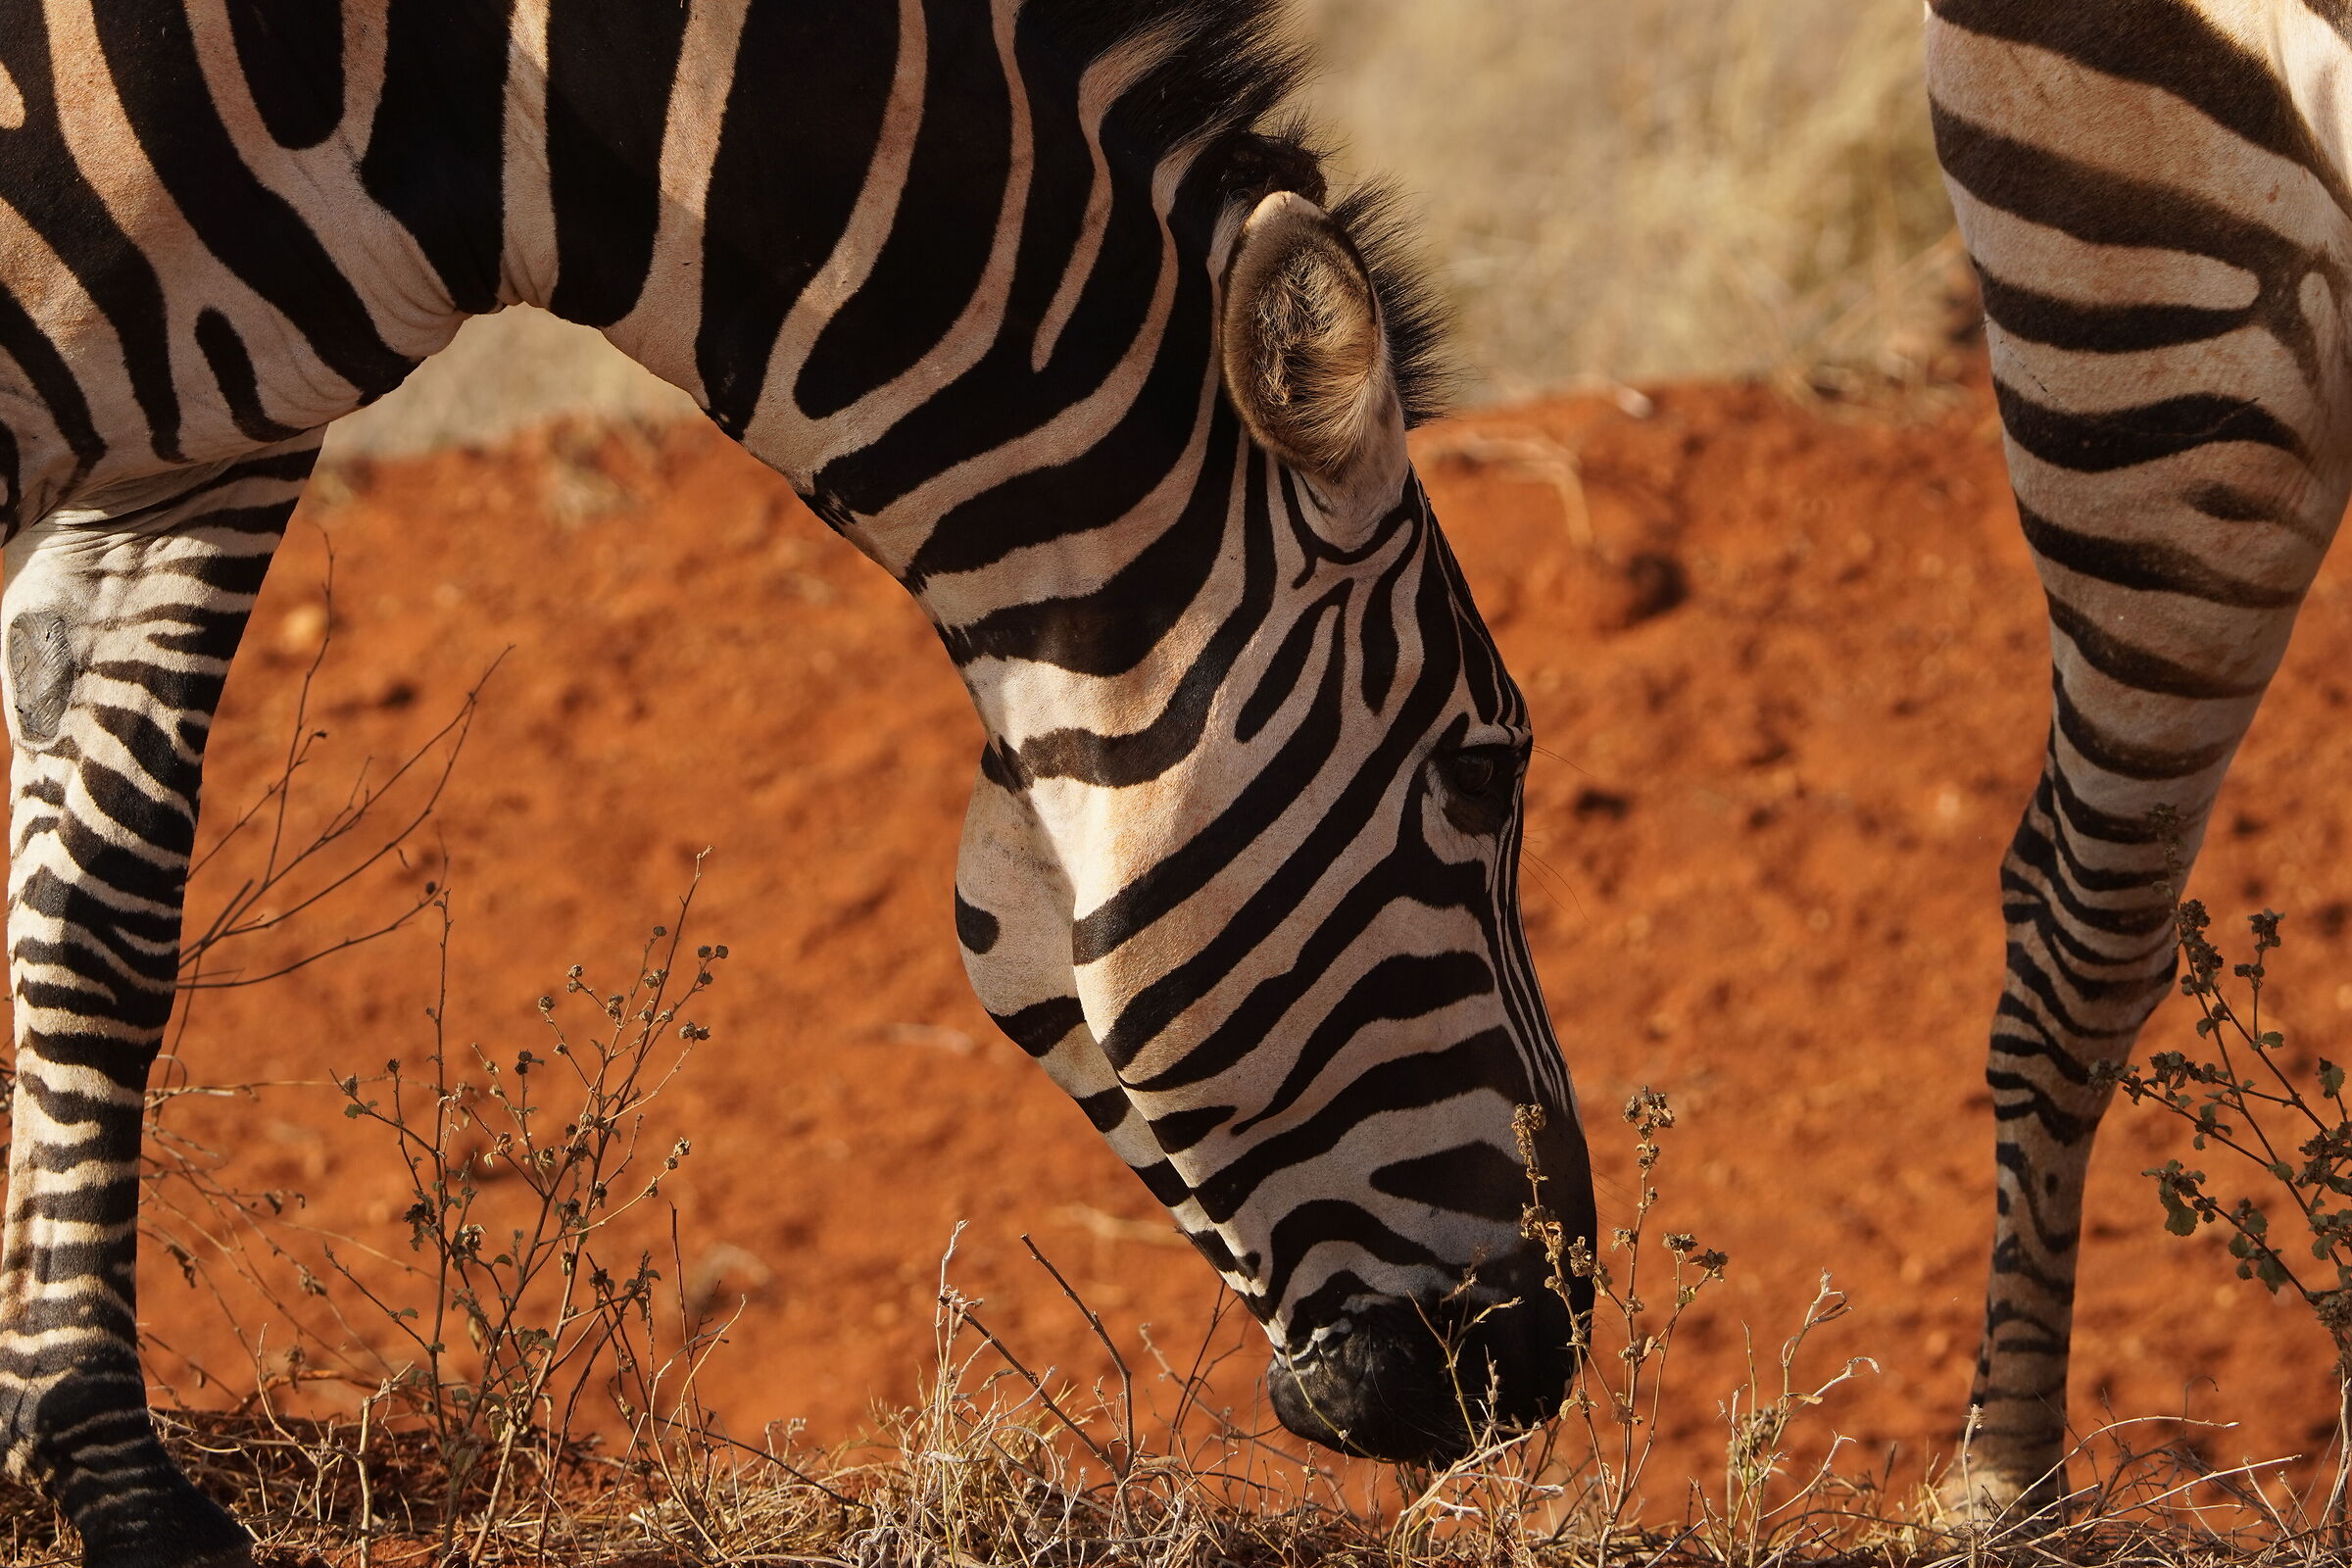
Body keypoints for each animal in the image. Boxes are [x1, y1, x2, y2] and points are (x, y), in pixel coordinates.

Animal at [0, 0, 1596, 1559]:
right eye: (1477, 776)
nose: (1548, 1352)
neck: (477, 90)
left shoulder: (214, 450)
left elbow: (97, 921)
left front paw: (104, 1475)